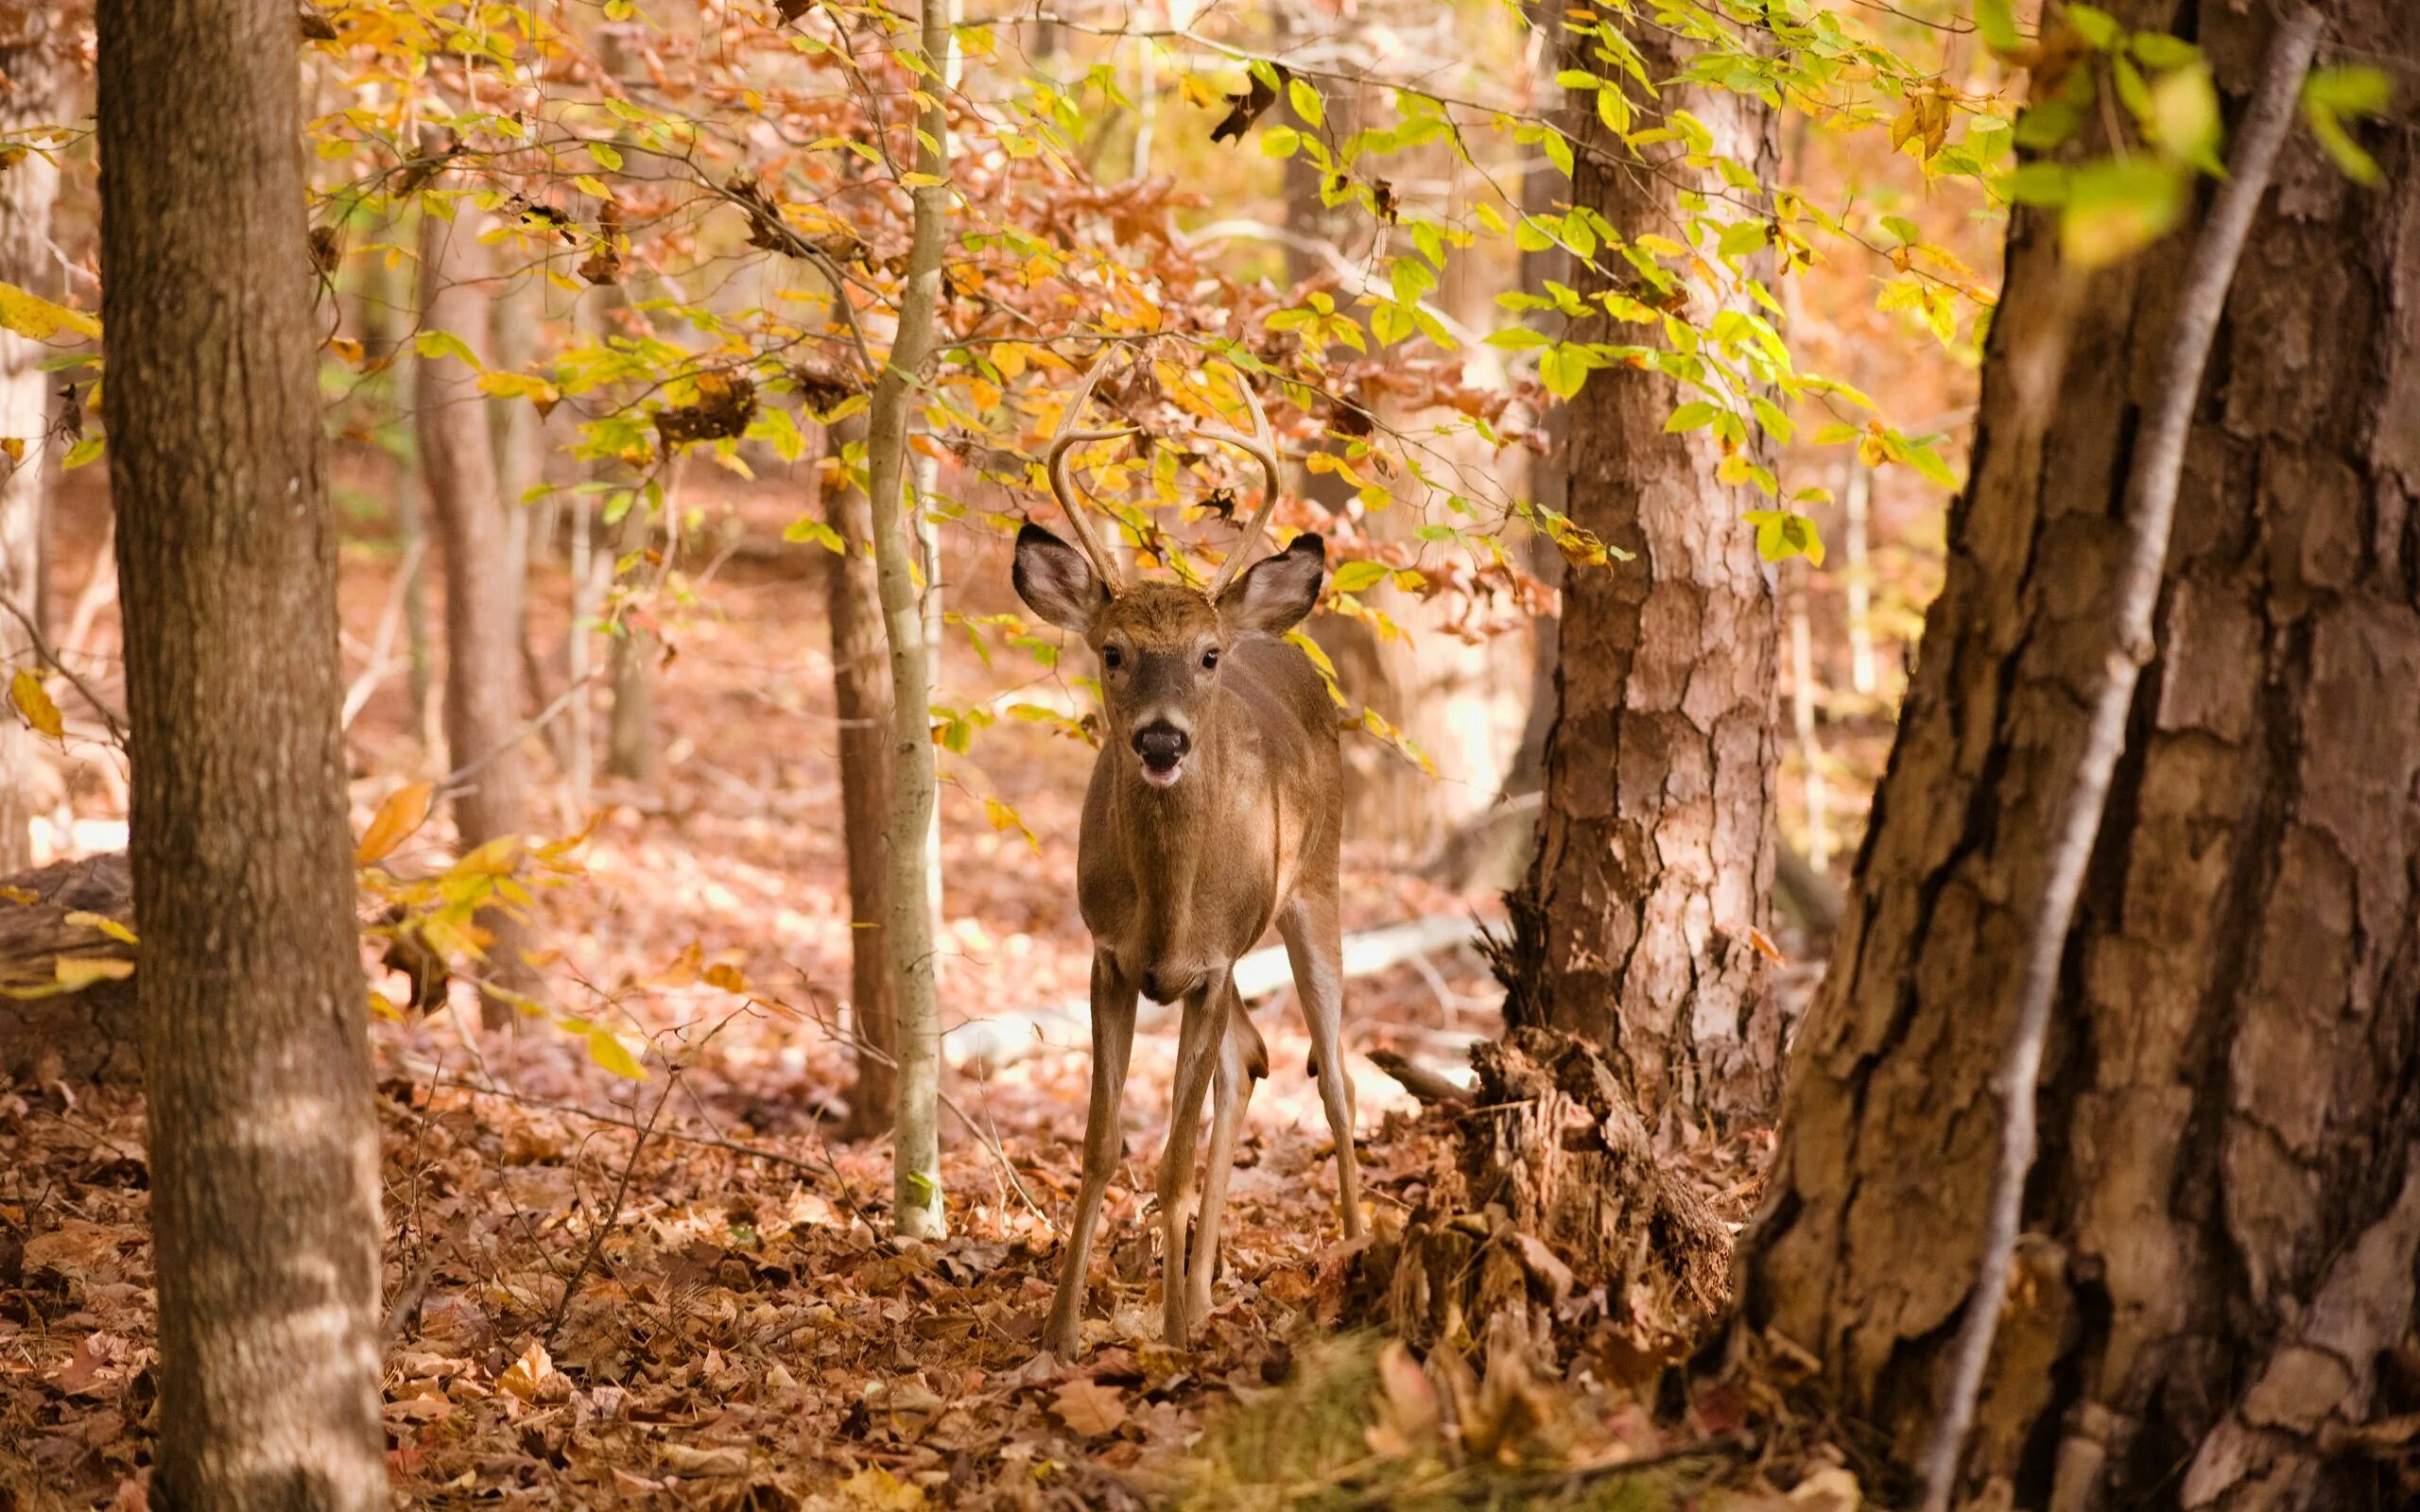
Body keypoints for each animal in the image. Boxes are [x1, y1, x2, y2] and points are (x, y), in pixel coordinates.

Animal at [1011, 355, 1364, 1354]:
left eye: (1205, 655)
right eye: (1112, 650)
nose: (1163, 741)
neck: (1167, 906)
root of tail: (1278, 640)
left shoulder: (1207, 964)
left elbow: (1167, 1160)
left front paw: (1166, 1337)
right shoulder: (1109, 955)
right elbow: (1102, 1147)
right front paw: (1060, 1335)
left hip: (1316, 887)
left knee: (1335, 1078)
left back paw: (1354, 1252)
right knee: (1249, 1061)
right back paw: (1205, 1294)